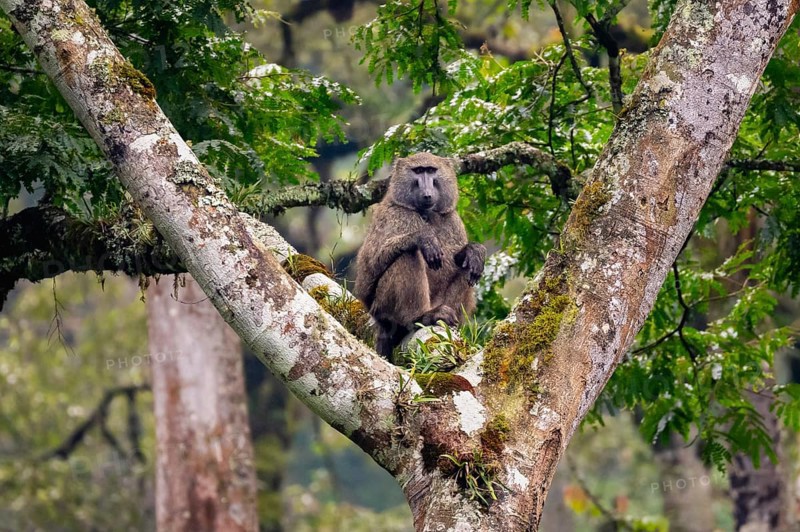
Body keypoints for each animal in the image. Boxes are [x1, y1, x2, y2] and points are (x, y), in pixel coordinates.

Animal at [354, 152, 486, 360]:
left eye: (431, 170)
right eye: (418, 171)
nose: (427, 193)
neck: (426, 214)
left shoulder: (452, 220)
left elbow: (462, 259)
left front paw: (474, 251)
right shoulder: (392, 216)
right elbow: (370, 269)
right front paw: (423, 238)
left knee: (469, 269)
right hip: (381, 307)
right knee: (407, 255)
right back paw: (421, 317)